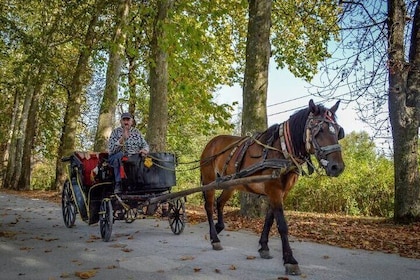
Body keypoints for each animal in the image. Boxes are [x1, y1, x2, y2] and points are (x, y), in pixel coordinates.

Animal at [200, 99, 344, 276]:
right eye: (319, 130)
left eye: (338, 131)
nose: (337, 167)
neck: (283, 150)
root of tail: (211, 142)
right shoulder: (274, 189)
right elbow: (282, 224)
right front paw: (290, 260)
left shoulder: (282, 192)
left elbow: (269, 219)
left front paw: (264, 247)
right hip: (209, 181)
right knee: (209, 206)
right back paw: (214, 238)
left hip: (231, 184)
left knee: (219, 202)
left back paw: (219, 228)